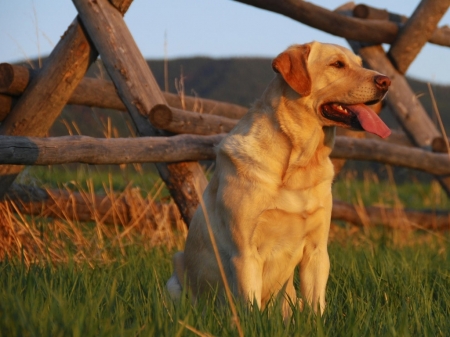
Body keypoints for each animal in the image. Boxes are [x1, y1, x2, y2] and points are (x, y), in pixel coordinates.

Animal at [165, 41, 390, 318]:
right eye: (337, 64)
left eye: (360, 63)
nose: (386, 81)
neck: (299, 163)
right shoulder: (245, 253)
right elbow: (250, 308)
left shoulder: (317, 250)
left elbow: (317, 306)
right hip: (175, 280)